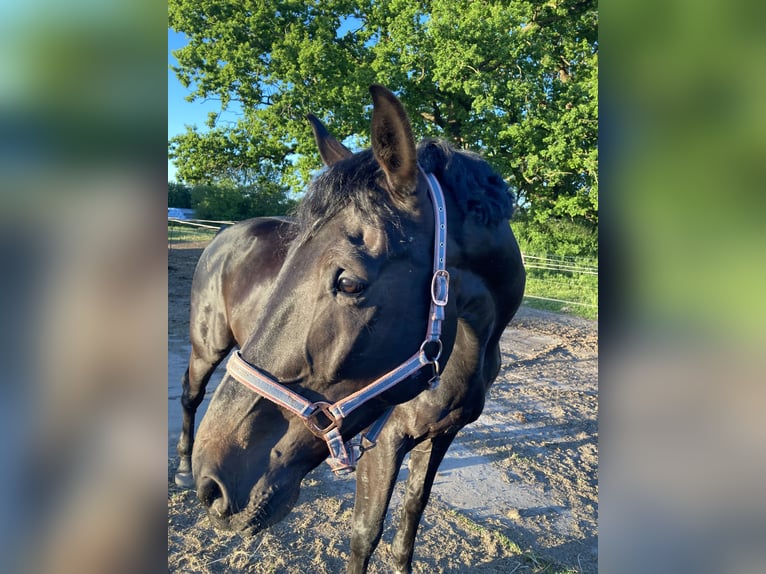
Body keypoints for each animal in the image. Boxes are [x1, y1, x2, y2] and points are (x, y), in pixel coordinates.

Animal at [175, 85, 524, 574]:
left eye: (348, 283)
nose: (213, 484)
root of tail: (227, 233)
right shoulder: (385, 442)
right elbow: (366, 533)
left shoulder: (441, 437)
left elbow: (411, 517)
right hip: (207, 346)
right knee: (190, 394)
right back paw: (181, 468)